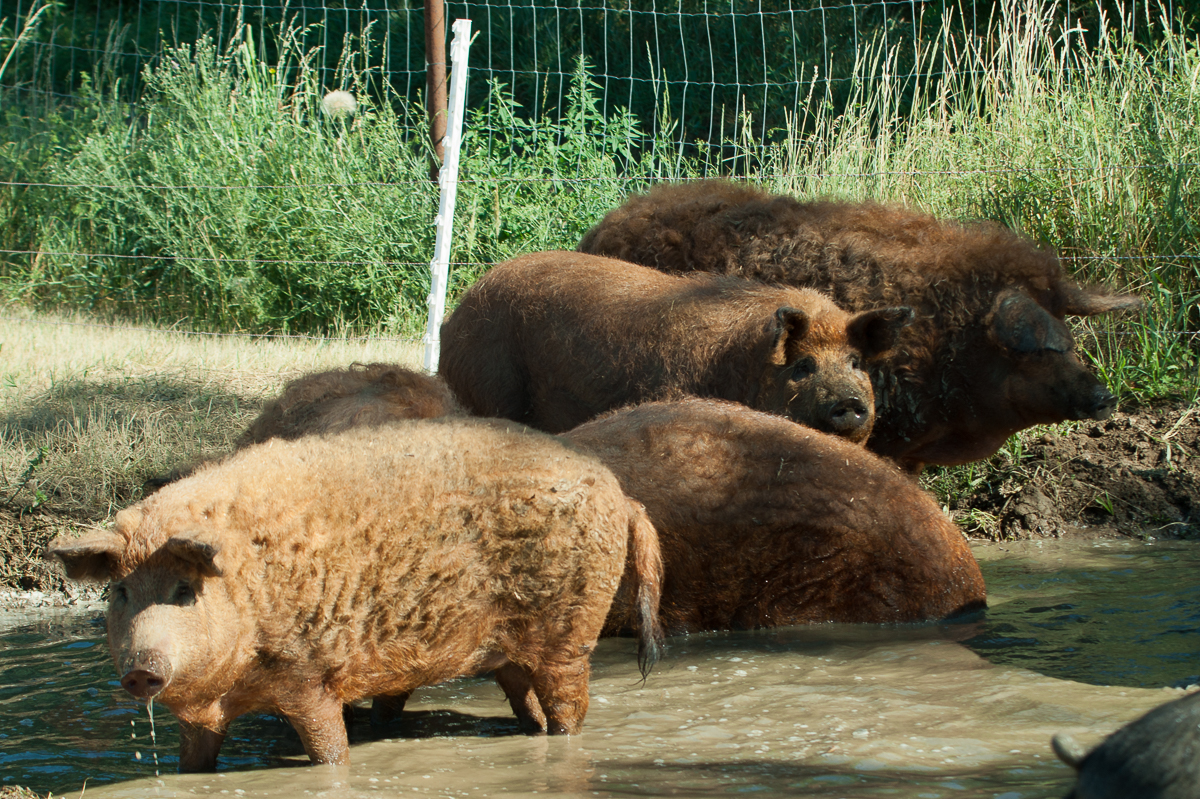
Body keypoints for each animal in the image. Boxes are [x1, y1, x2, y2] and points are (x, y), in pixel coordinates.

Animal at [46, 419, 667, 767]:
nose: (141, 669)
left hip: (571, 632)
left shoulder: (308, 676)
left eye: (184, 589)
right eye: (120, 592)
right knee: (527, 703)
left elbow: (330, 753)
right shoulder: (202, 715)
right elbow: (192, 768)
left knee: (569, 711)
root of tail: (620, 491)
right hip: (512, 652)